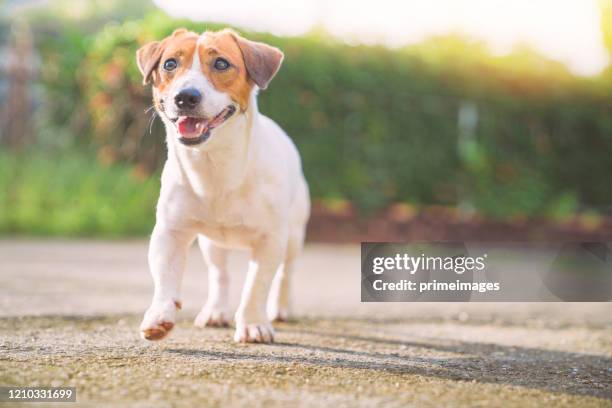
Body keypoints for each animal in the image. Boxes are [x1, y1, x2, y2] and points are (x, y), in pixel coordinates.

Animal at [137, 27, 310, 342]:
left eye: (221, 63)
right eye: (169, 64)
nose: (185, 97)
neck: (214, 165)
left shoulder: (271, 239)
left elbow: (256, 286)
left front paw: (253, 324)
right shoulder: (170, 232)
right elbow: (165, 276)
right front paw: (159, 315)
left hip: (294, 234)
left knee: (286, 273)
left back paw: (281, 308)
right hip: (212, 244)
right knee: (220, 274)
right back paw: (216, 311)